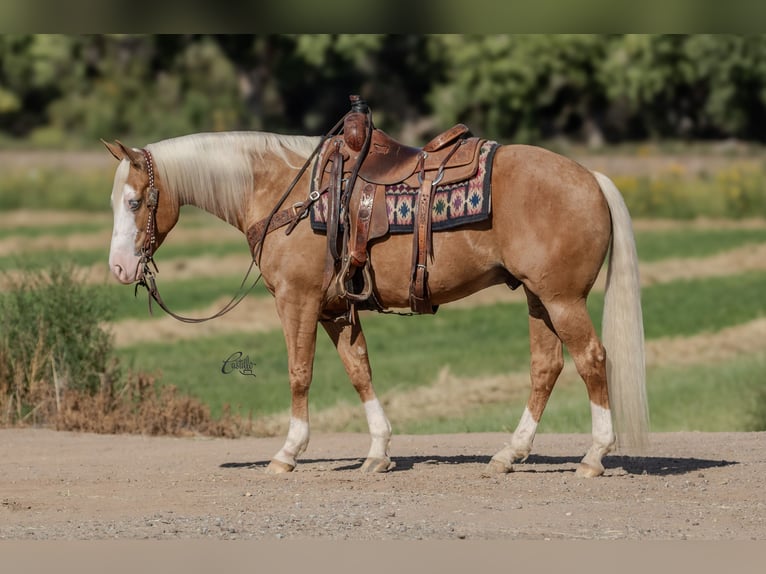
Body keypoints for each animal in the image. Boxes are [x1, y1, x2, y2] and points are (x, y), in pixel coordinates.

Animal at [105, 128, 652, 480]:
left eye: (135, 202)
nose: (119, 268)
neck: (287, 194)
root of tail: (591, 178)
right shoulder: (334, 310)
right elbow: (359, 370)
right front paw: (378, 451)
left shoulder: (298, 301)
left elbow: (299, 372)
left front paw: (288, 452)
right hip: (539, 299)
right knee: (546, 367)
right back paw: (508, 454)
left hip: (562, 300)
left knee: (591, 360)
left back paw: (593, 457)